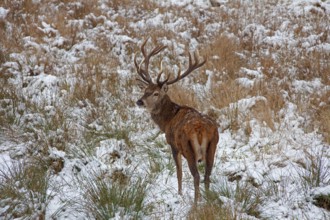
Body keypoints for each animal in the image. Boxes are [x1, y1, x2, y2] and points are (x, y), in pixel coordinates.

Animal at [134, 38, 219, 205]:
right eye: (145, 90)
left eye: (156, 93)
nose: (139, 101)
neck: (167, 120)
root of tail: (201, 130)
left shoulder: (172, 144)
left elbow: (178, 172)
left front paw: (179, 193)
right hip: (213, 146)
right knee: (207, 176)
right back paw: (207, 202)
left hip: (188, 148)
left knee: (196, 176)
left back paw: (195, 204)